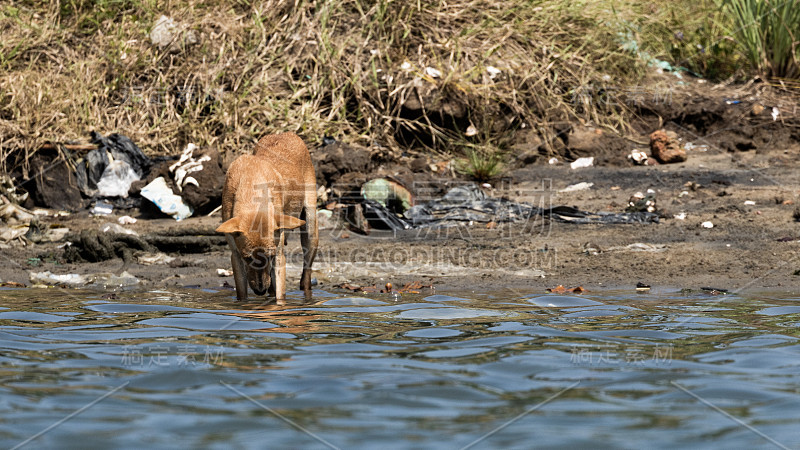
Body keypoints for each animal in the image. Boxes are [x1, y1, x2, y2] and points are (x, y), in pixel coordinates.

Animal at [219, 132, 322, 300]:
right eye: (248, 258)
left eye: (270, 256)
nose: (261, 291)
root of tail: (287, 133)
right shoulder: (236, 256)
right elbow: (242, 295)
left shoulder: (278, 255)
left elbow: (280, 297)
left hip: (310, 229)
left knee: (306, 273)